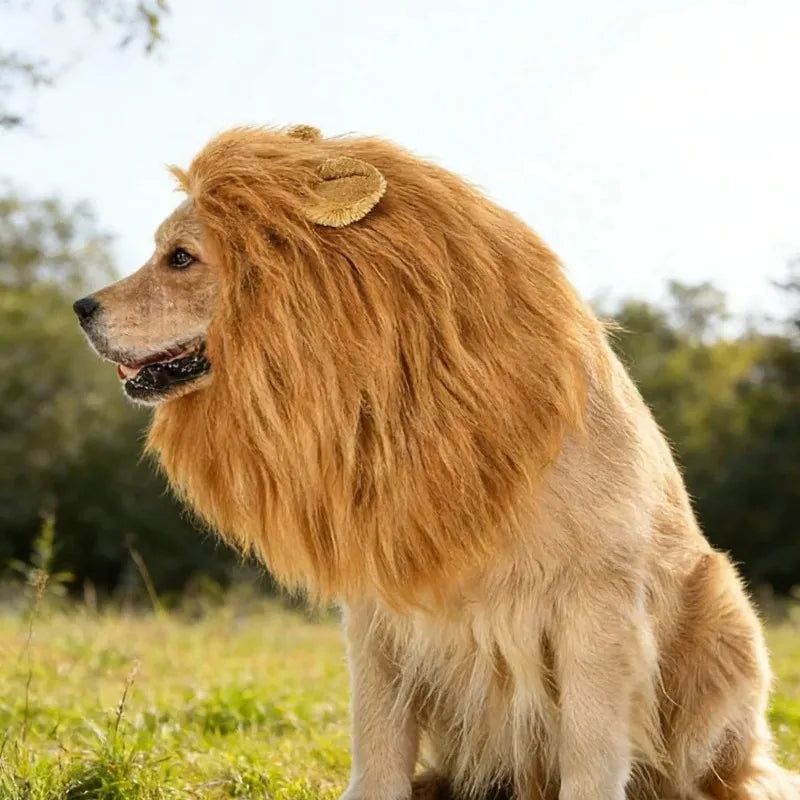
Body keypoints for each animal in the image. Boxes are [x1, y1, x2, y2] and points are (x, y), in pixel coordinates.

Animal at [73, 124, 799, 799]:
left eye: (181, 258)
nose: (81, 307)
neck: (390, 397)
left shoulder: (597, 602)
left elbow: (592, 752)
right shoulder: (379, 611)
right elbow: (378, 750)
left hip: (725, 610)